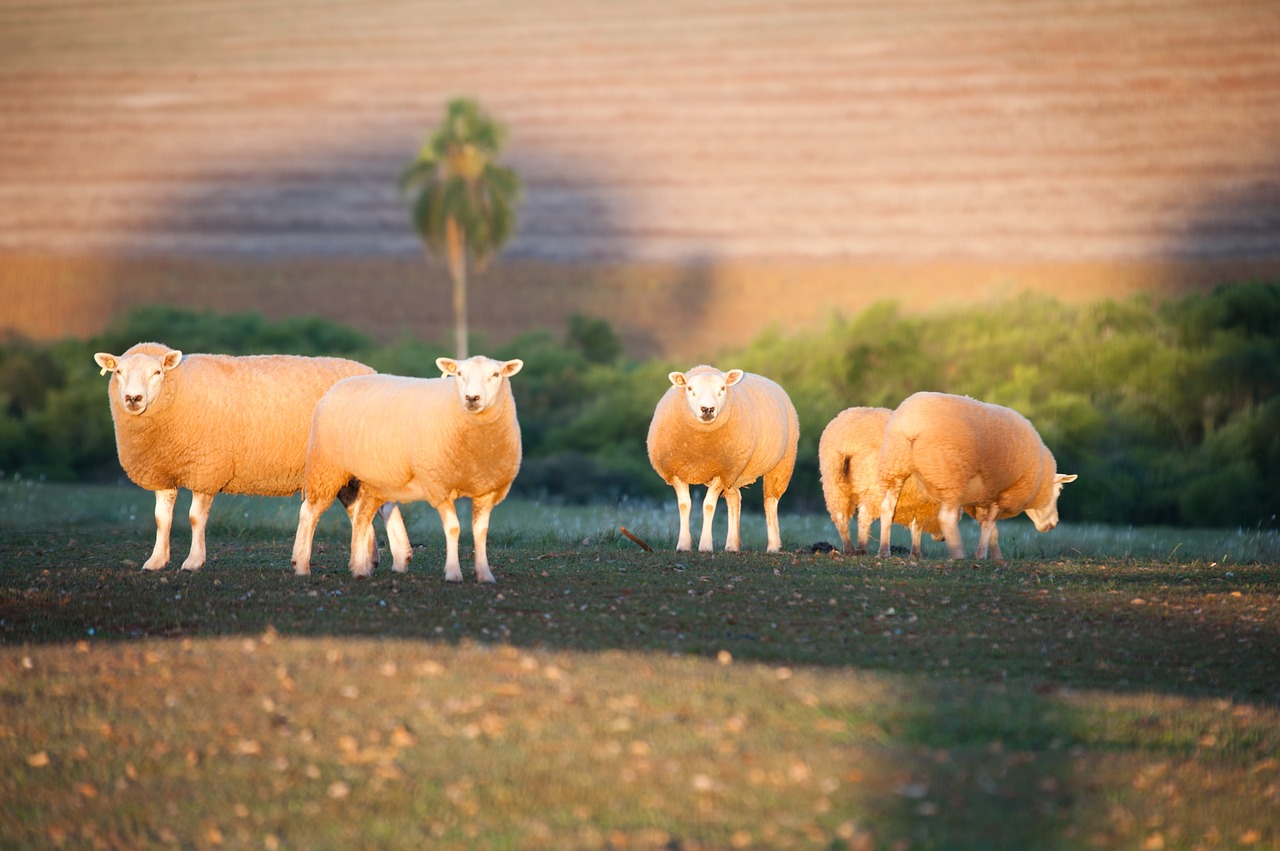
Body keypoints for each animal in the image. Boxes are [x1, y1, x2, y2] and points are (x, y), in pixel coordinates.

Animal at [94, 340, 409, 570]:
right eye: (118, 372)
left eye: (157, 373)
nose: (133, 399)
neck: (180, 388)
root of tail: (373, 372)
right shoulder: (161, 470)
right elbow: (162, 518)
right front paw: (156, 561)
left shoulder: (208, 466)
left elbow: (195, 518)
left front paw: (193, 562)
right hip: (348, 469)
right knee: (366, 508)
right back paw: (374, 558)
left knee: (383, 505)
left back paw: (395, 557)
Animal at [291, 353, 524, 583]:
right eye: (459, 373)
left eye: (495, 374)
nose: (472, 398)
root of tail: (338, 386)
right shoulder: (438, 485)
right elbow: (453, 528)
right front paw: (453, 573)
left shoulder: (487, 489)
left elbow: (481, 531)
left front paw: (485, 574)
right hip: (326, 468)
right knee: (310, 513)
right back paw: (302, 566)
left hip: (373, 480)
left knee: (361, 516)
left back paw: (359, 568)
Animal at [650, 363, 798, 550]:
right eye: (689, 388)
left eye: (722, 388)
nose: (707, 409)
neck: (700, 446)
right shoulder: (676, 471)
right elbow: (684, 505)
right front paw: (683, 544)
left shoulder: (723, 472)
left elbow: (708, 505)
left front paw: (705, 545)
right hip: (735, 472)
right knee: (734, 499)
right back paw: (732, 545)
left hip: (781, 464)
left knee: (770, 502)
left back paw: (773, 546)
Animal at [814, 404, 947, 557]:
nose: (943, 538)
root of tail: (847, 441)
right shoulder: (921, 502)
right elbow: (917, 527)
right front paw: (916, 554)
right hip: (872, 484)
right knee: (867, 515)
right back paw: (869, 550)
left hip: (832, 481)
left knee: (839, 516)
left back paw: (850, 550)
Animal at [875, 389, 1075, 560]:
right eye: (1059, 490)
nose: (1053, 524)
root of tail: (912, 424)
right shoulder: (1002, 493)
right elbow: (989, 525)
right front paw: (981, 555)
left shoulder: (985, 497)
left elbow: (991, 529)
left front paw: (996, 557)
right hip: (950, 475)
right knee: (947, 518)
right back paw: (957, 553)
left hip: (894, 466)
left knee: (887, 508)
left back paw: (884, 551)